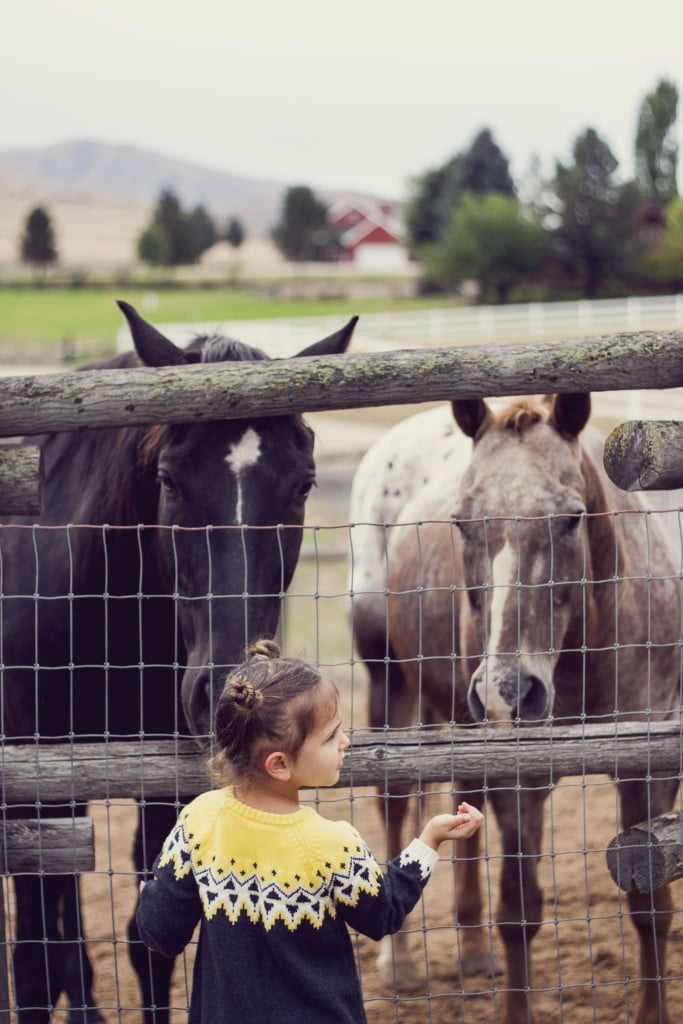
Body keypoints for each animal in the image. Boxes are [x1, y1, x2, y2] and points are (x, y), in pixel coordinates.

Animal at [1, 301, 358, 1024]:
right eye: (169, 480)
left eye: (302, 485)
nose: (228, 687)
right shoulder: (31, 771)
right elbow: (31, 961)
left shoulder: (160, 780)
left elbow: (151, 944)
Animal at [352, 393, 683, 1024]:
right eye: (461, 521)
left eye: (571, 517)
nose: (507, 688)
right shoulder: (521, 783)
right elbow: (520, 910)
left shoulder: (650, 771)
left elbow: (651, 905)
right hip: (390, 684)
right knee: (395, 798)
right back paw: (400, 962)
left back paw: (474, 953)